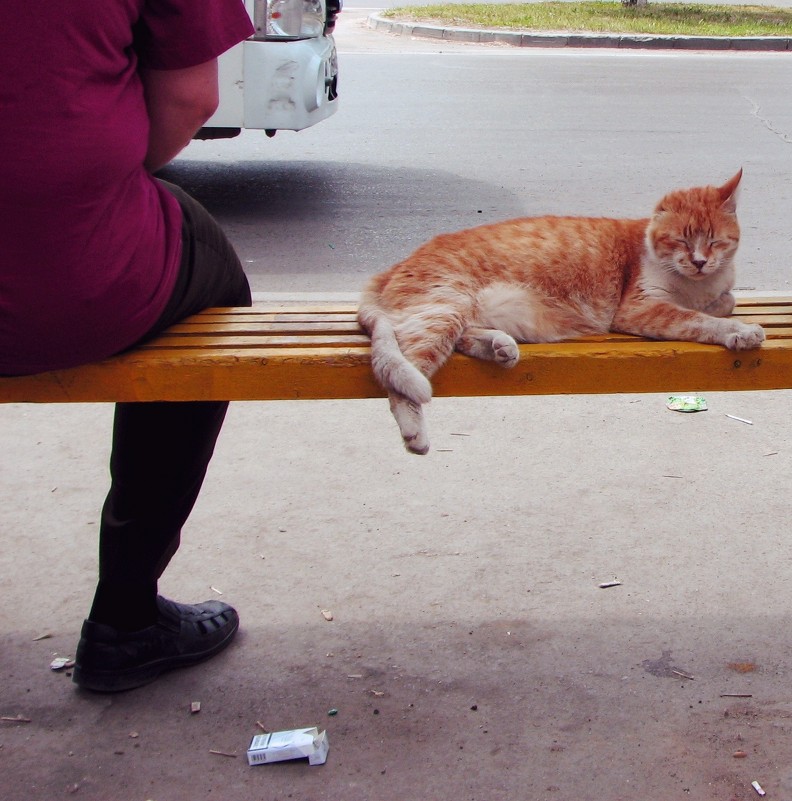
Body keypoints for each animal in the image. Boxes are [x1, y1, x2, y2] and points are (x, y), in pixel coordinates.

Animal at [358, 170, 760, 454]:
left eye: (714, 240)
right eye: (680, 240)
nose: (699, 261)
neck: (694, 286)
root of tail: (393, 266)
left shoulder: (713, 291)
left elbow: (724, 301)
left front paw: (720, 304)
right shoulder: (640, 309)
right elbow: (697, 319)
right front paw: (739, 331)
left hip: (459, 313)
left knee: (461, 339)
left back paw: (499, 347)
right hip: (442, 311)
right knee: (401, 380)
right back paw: (415, 433)